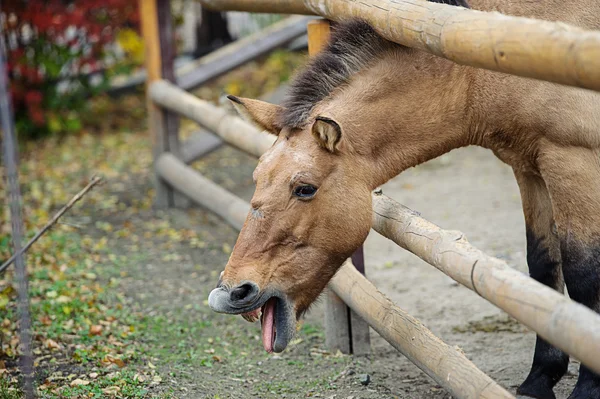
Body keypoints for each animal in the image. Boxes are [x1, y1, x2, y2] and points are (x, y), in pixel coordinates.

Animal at [206, 0, 600, 396]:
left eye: (305, 188)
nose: (230, 293)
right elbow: (543, 267)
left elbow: (583, 273)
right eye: (257, 177)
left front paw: (587, 388)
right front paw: (539, 379)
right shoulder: (529, 168)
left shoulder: (573, 162)